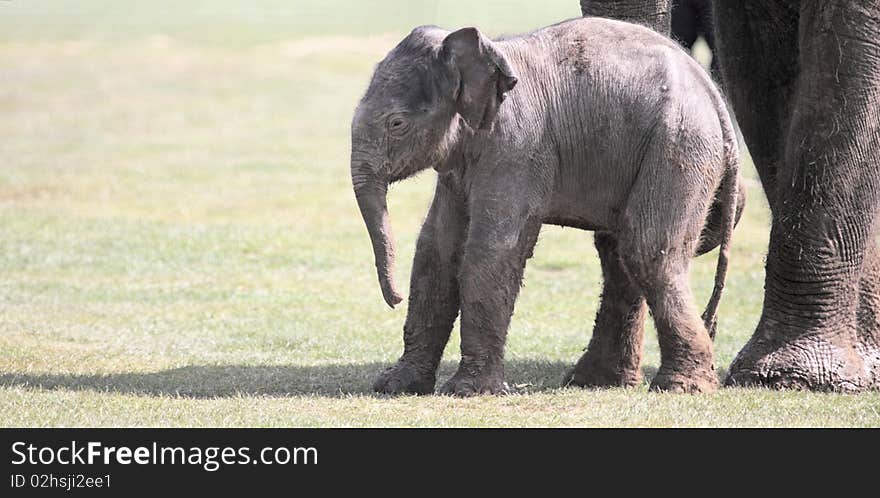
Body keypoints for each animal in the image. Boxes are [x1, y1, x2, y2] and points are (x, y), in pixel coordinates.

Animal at [348, 17, 740, 394]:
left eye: (397, 123)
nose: (395, 299)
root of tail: (714, 96)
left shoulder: (518, 147)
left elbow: (491, 250)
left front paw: (466, 391)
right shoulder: (460, 164)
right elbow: (436, 250)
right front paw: (395, 386)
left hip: (679, 146)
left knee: (648, 250)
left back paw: (680, 386)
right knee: (619, 255)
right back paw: (597, 381)